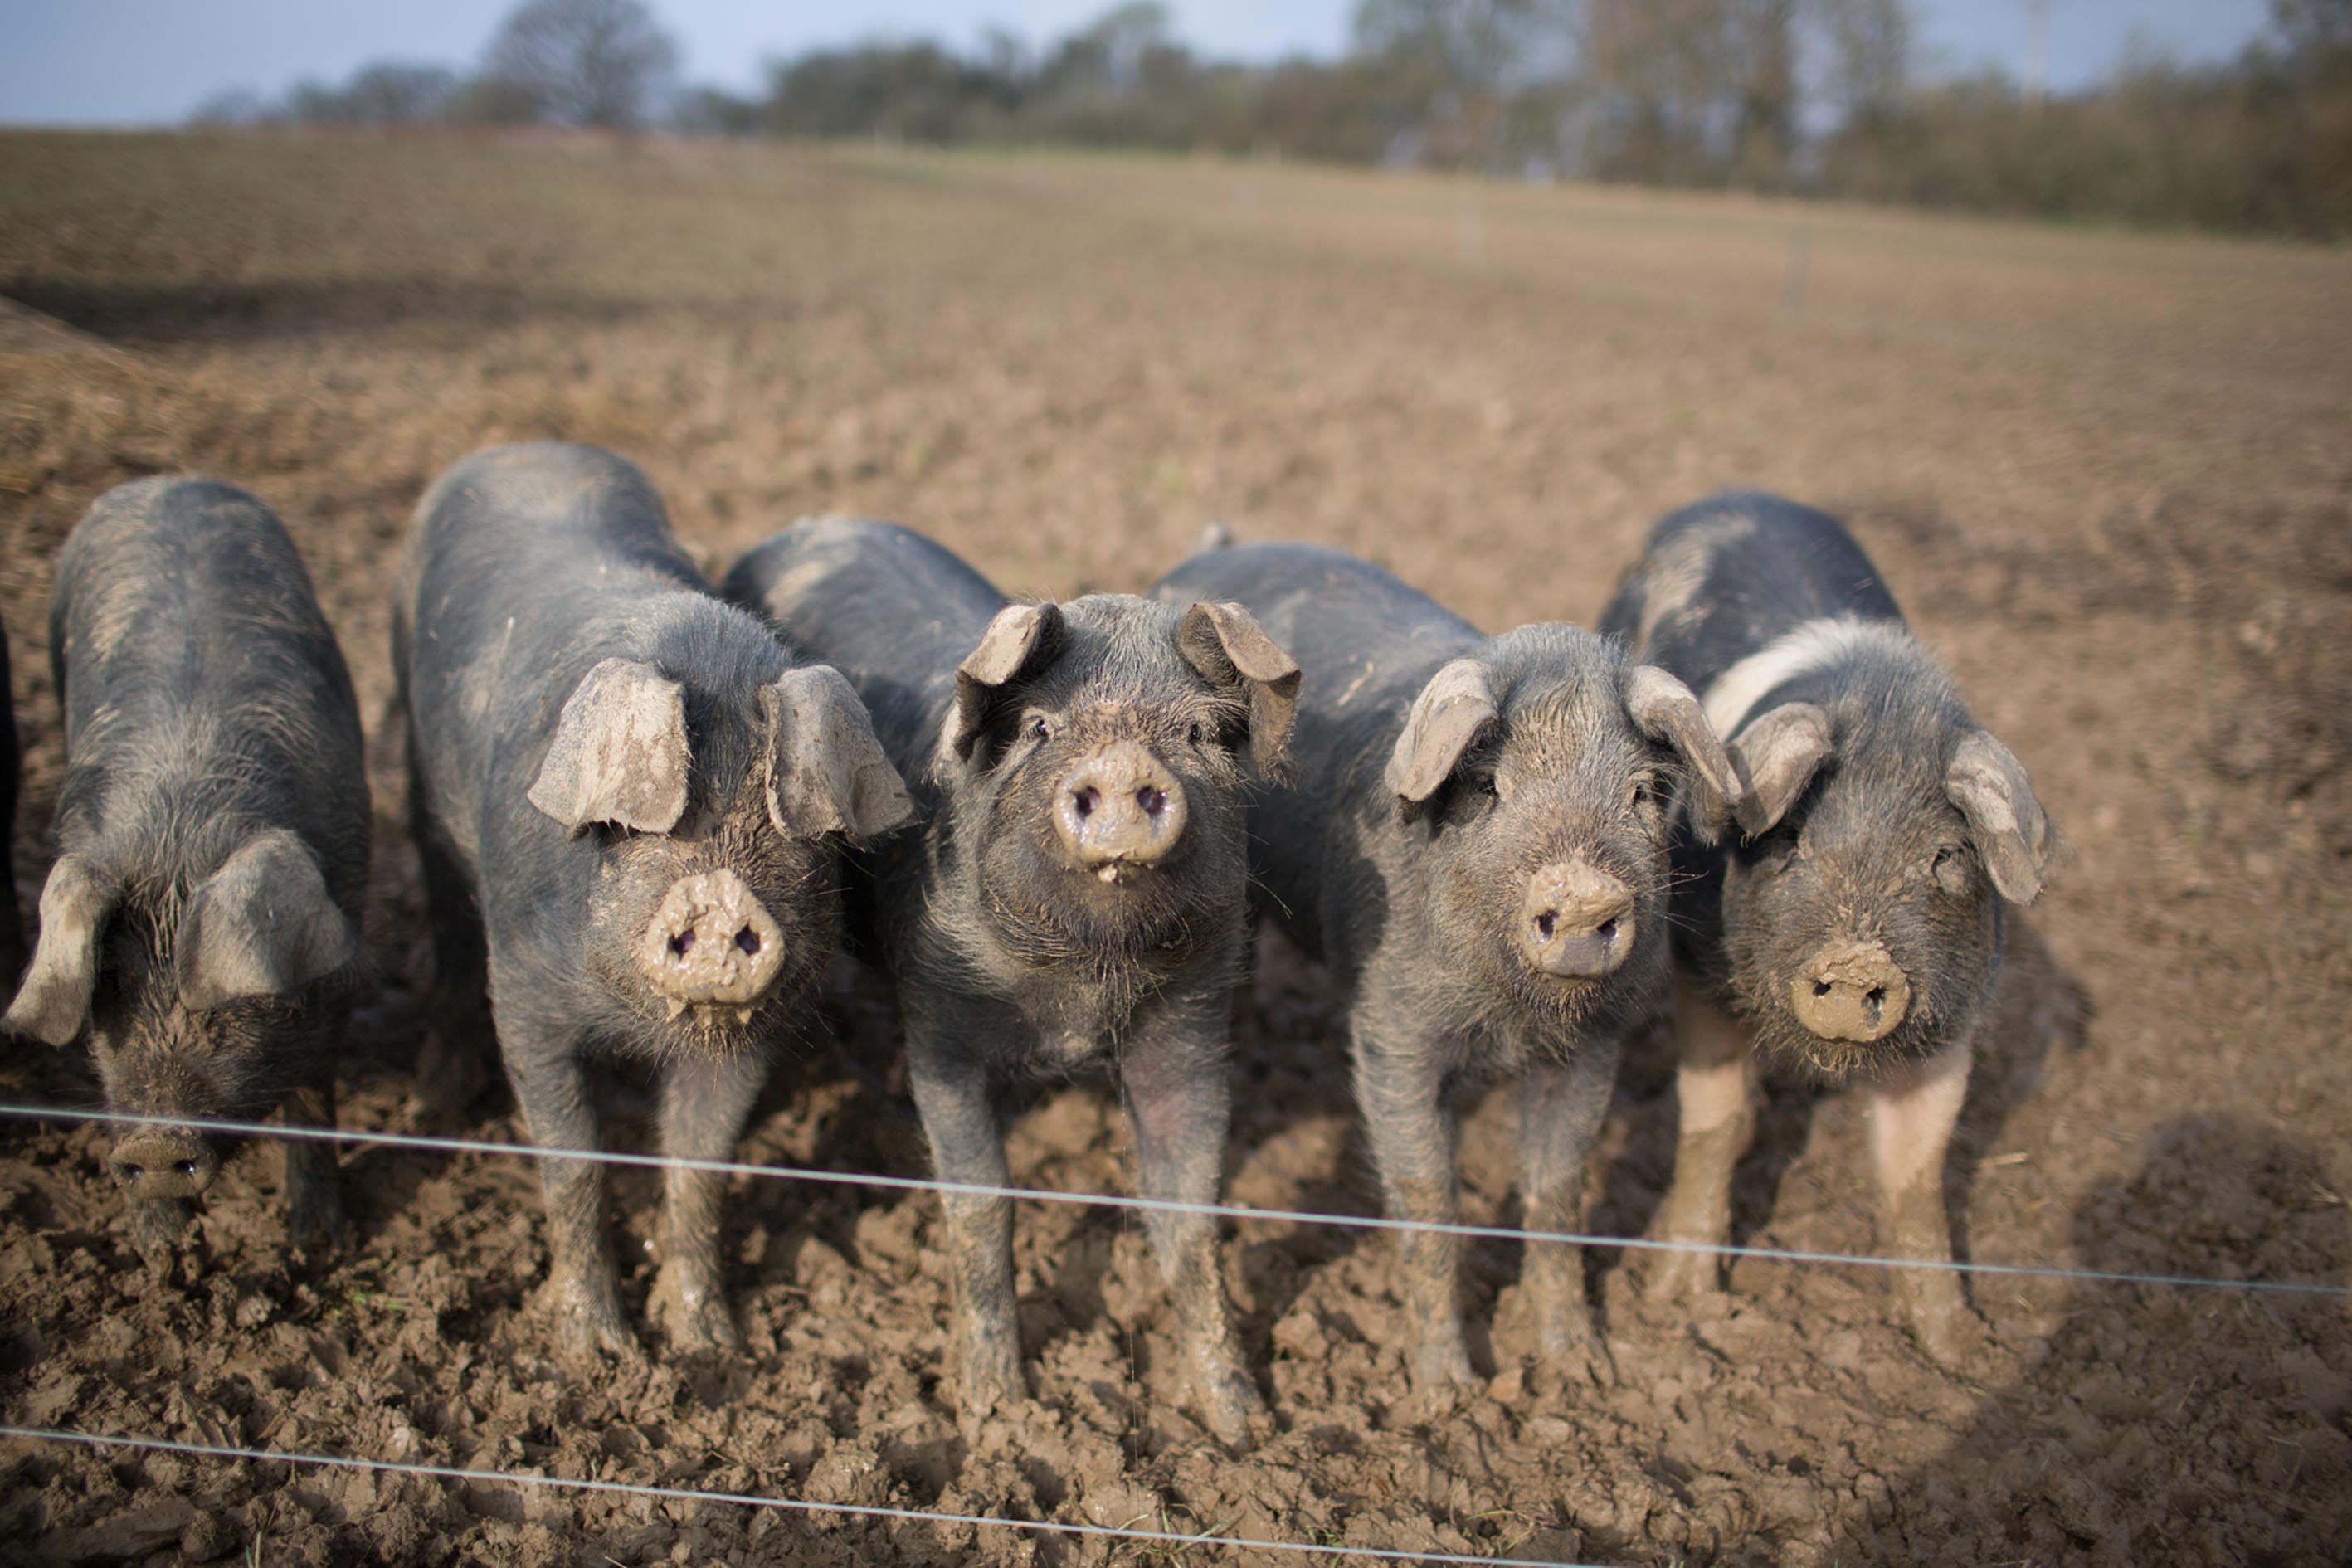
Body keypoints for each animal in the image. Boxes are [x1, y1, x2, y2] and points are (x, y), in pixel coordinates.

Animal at [3, 478, 367, 1270]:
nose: (156, 1143)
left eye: (234, 999)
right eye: (108, 982)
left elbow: (314, 1094)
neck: (179, 828)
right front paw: (162, 1263)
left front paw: (319, 1245)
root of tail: (167, 480)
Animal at [394, 444, 913, 1360]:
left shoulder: (754, 1033)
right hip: (421, 784)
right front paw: (594, 1353)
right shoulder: (523, 999)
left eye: (792, 833)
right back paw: (445, 1094)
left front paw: (710, 1346)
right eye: (636, 829)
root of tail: (518, 447)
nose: (715, 897)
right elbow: (572, 1163)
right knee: (448, 920)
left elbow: (700, 1168)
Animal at [721, 519, 1301, 1441]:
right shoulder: (939, 1025)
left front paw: (1245, 1424)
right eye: (1037, 728)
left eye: (1200, 734)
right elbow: (981, 1205)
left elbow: (1190, 1216)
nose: (1119, 765)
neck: (1080, 994)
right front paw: (996, 1412)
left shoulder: (1194, 1017)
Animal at [1154, 540, 1745, 1397]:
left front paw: (1582, 1370)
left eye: (1640, 793)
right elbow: (1430, 1199)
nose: (1582, 892)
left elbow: (1558, 1191)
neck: (1507, 1021)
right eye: (1488, 787)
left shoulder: (1597, 1044)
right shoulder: (1389, 1032)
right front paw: (1446, 1393)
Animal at [1599, 491, 2060, 1367]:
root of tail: (1731, 495)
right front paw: (1678, 1300)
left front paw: (1962, 1348)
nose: (1855, 963)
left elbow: (1918, 1173)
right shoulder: (1706, 976)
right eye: (1791, 839)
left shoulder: (1952, 1021)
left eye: (1945, 856)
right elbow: (1715, 1127)